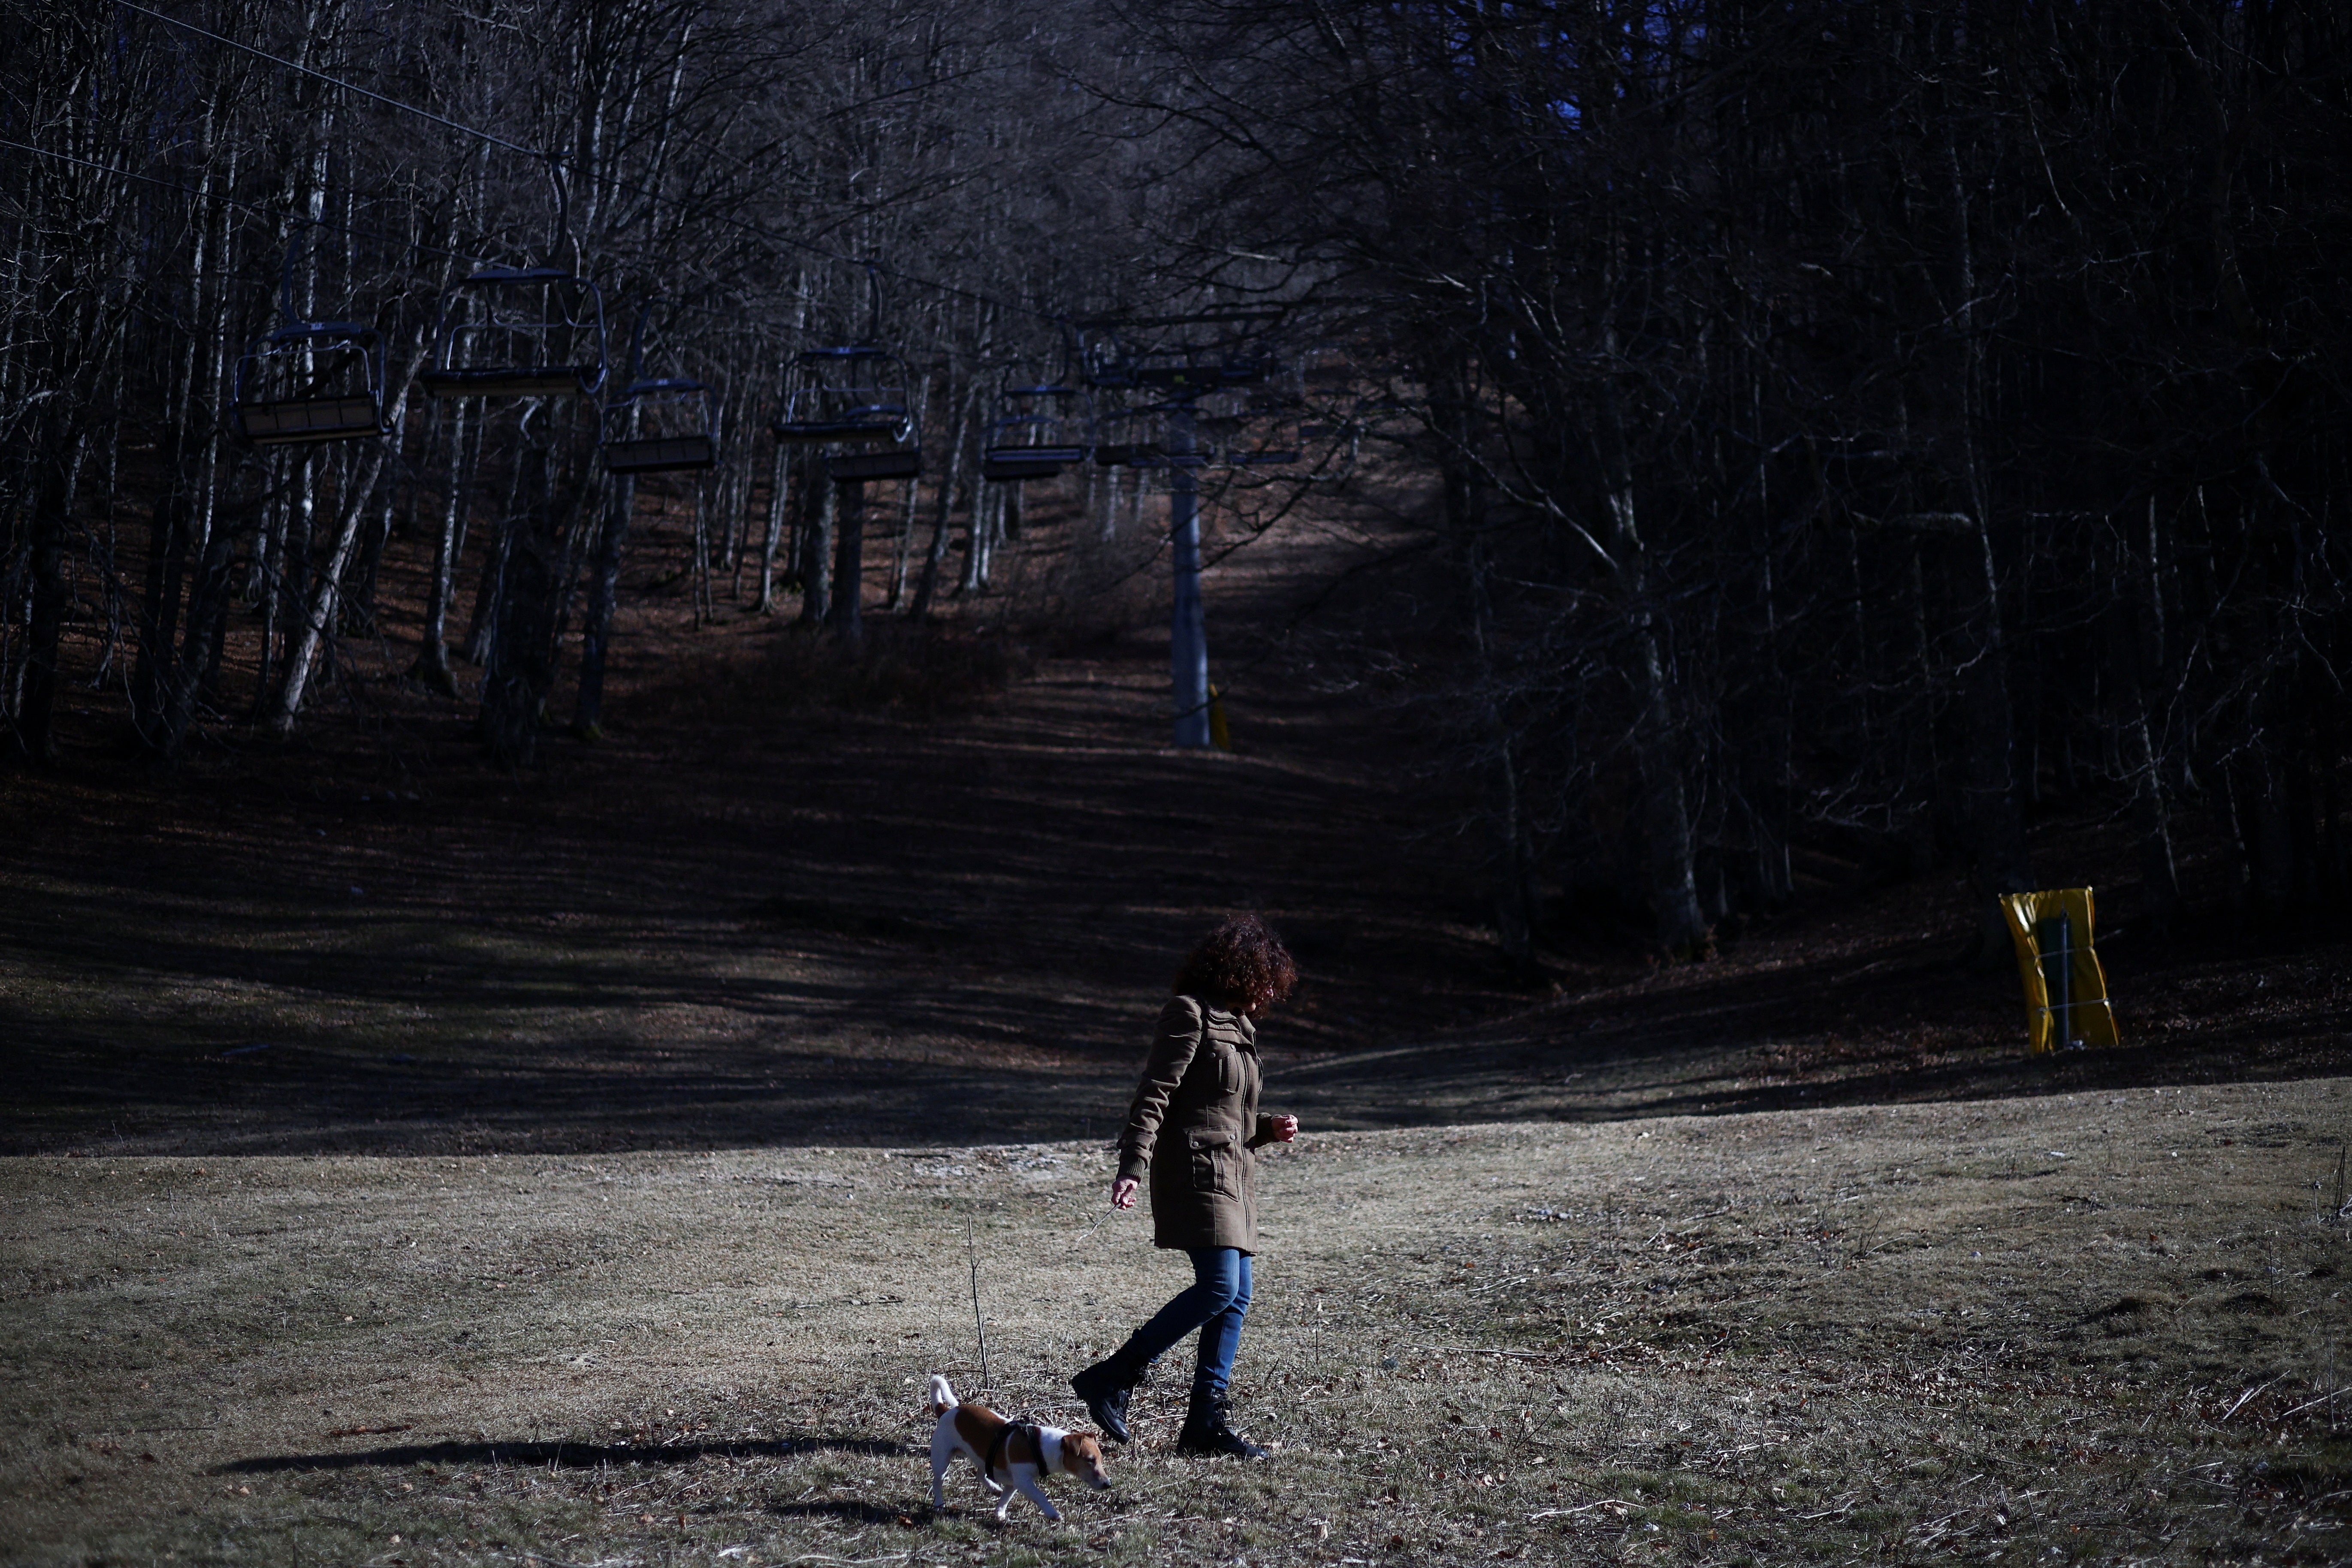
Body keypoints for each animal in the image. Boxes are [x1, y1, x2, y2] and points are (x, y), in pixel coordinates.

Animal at [927, 1373, 1110, 1523]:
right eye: (1090, 1460)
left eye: (1101, 1460)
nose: (1108, 1484)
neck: (1042, 1446)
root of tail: (946, 1411)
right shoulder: (1023, 1481)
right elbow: (1040, 1496)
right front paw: (1053, 1513)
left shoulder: (1014, 1483)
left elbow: (1006, 1498)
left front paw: (1000, 1514)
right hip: (942, 1458)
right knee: (938, 1482)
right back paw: (939, 1505)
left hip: (984, 1458)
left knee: (980, 1474)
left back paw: (994, 1488)